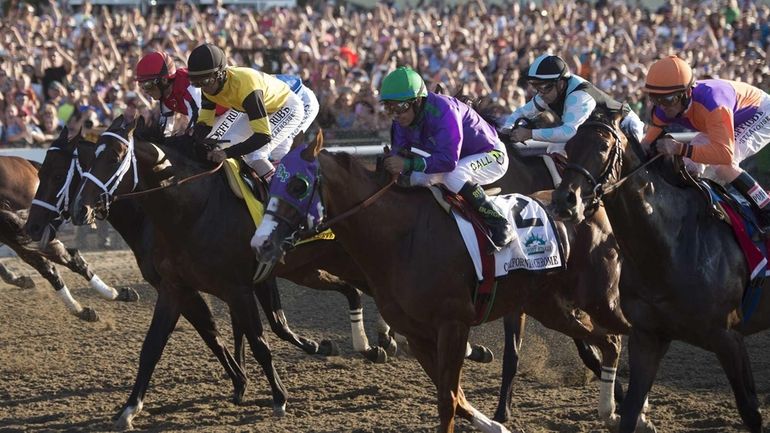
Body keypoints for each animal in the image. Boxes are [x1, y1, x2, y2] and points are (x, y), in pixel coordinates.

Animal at [252, 132, 632, 432]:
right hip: (550, 307)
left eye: (298, 184)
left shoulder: (453, 324)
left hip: (600, 297)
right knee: (607, 340)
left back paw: (625, 407)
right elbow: (456, 398)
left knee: (620, 334)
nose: (262, 243)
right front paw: (494, 424)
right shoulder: (418, 334)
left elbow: (448, 401)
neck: (403, 237)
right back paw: (613, 410)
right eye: (269, 184)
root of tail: (589, 204)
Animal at [552, 112, 768, 432]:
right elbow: (630, 409)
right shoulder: (648, 337)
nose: (563, 201)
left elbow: (750, 410)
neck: (668, 245)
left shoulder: (729, 338)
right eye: (569, 145)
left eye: (603, 147)